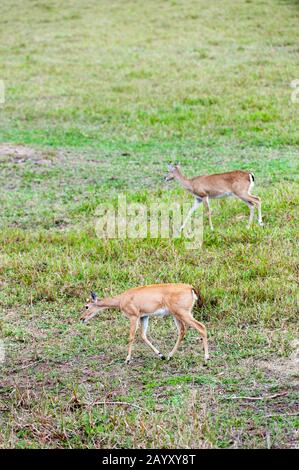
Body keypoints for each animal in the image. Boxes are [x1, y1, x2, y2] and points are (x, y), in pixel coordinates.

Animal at [81, 282, 210, 364]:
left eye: (86, 306)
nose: (81, 319)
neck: (122, 299)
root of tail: (190, 288)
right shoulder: (144, 317)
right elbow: (143, 335)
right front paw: (161, 355)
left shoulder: (134, 317)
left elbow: (131, 337)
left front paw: (127, 359)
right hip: (177, 315)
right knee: (182, 331)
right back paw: (169, 356)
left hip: (183, 314)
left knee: (201, 327)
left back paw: (206, 359)